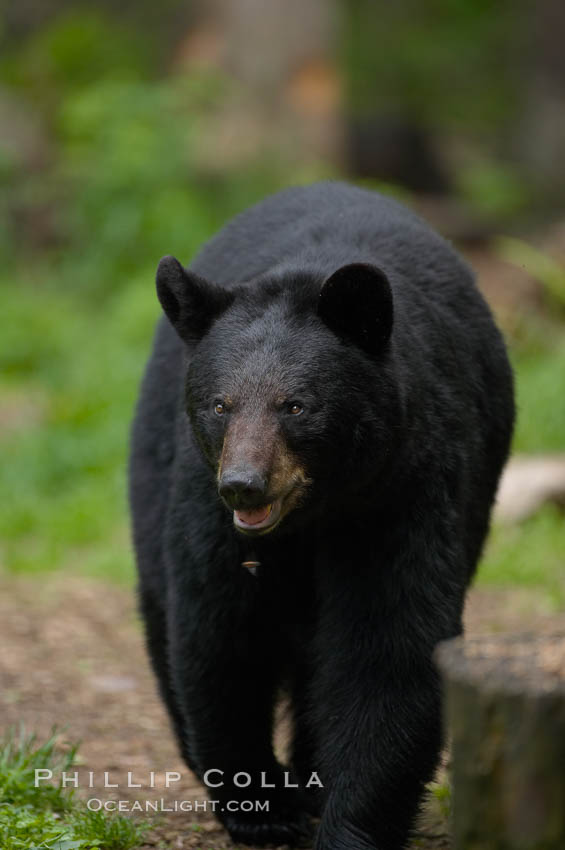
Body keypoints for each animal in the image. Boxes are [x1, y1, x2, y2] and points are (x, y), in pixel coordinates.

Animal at [129, 181, 516, 848]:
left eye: (296, 405)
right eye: (220, 404)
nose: (244, 486)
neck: (312, 517)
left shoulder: (404, 490)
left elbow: (387, 647)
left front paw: (345, 824)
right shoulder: (206, 506)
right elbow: (220, 632)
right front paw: (261, 807)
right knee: (162, 609)